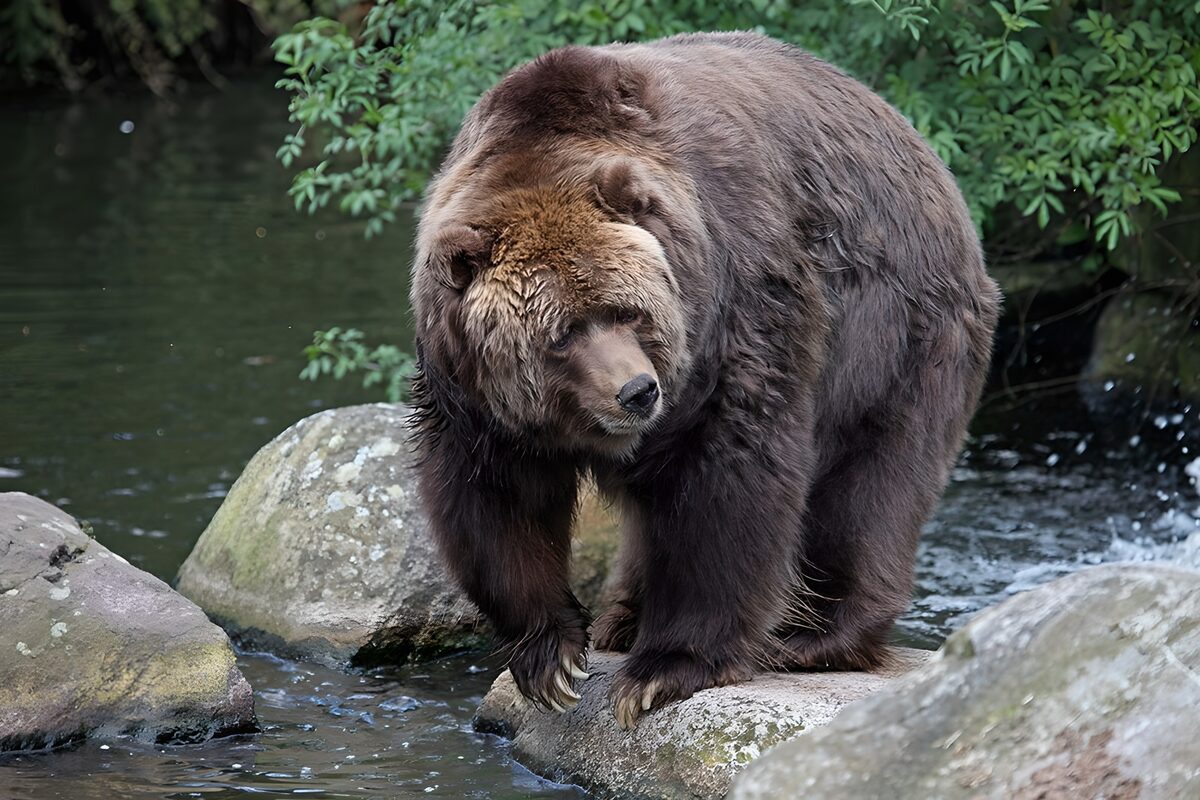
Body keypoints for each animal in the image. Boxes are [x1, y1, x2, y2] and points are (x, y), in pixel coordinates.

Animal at [409, 31, 1000, 729]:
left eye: (628, 310)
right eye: (563, 332)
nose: (637, 392)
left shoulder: (739, 302)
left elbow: (725, 482)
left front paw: (665, 670)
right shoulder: (472, 393)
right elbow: (497, 501)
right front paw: (551, 656)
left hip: (897, 332)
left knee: (870, 479)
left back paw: (815, 635)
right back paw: (621, 619)